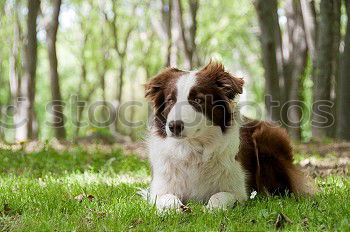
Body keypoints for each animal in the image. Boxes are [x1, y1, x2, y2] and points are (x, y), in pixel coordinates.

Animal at [144, 61, 314, 210]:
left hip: (268, 138)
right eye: (170, 101)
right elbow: (166, 198)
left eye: (198, 100)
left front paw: (209, 209)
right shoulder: (159, 189)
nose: (174, 126)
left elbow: (220, 196)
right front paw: (176, 209)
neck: (192, 148)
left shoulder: (239, 191)